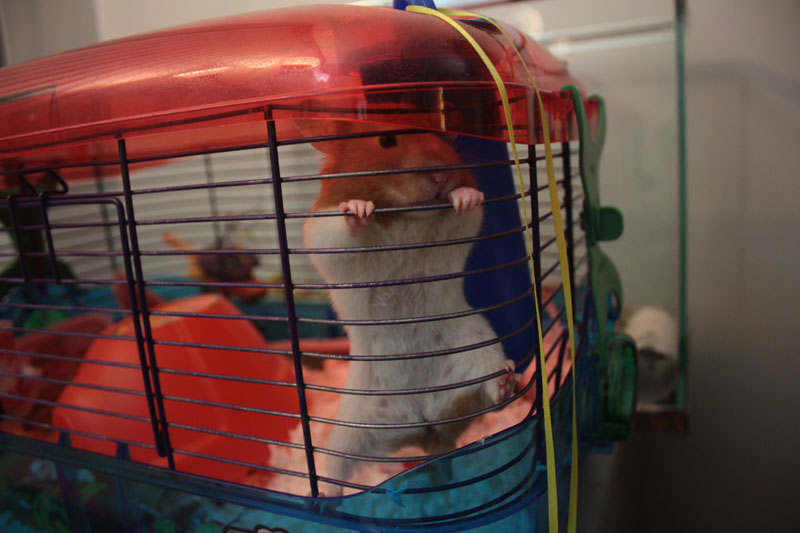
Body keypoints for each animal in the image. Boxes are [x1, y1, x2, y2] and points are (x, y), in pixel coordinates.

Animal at [302, 120, 520, 494]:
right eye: (387, 139)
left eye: (438, 136)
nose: (441, 177)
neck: (407, 214)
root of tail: (427, 428)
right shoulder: (324, 230)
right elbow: (342, 228)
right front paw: (360, 208)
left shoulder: (454, 229)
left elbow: (466, 213)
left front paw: (463, 196)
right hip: (352, 428)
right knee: (335, 467)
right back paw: (326, 495)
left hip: (479, 349)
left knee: (492, 395)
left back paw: (507, 380)